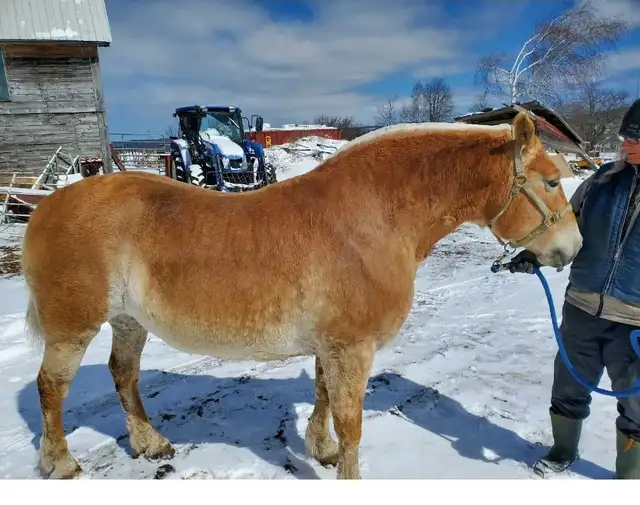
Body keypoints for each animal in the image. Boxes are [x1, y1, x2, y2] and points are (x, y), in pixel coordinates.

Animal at [20, 111, 582, 479]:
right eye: (552, 183)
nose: (572, 249)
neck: (375, 216)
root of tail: (47, 206)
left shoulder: (332, 346)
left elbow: (323, 396)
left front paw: (321, 451)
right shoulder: (352, 347)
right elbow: (351, 423)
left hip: (128, 320)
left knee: (124, 374)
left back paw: (149, 443)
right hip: (73, 327)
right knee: (52, 387)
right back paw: (61, 463)